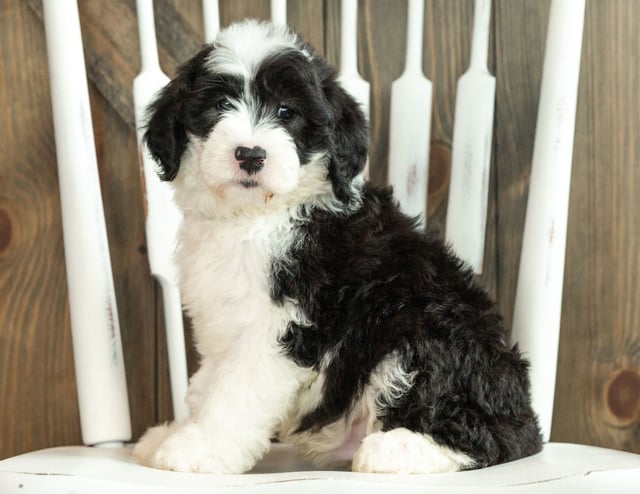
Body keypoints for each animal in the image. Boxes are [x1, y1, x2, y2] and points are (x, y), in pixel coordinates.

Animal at [132, 20, 544, 474]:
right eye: (220, 104)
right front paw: (176, 434)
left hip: (425, 329)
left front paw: (201, 448)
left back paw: (397, 449)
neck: (256, 217)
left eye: (286, 112)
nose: (251, 155)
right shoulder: (222, 321)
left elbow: (236, 393)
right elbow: (206, 386)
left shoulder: (283, 327)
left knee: (492, 435)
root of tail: (523, 407)